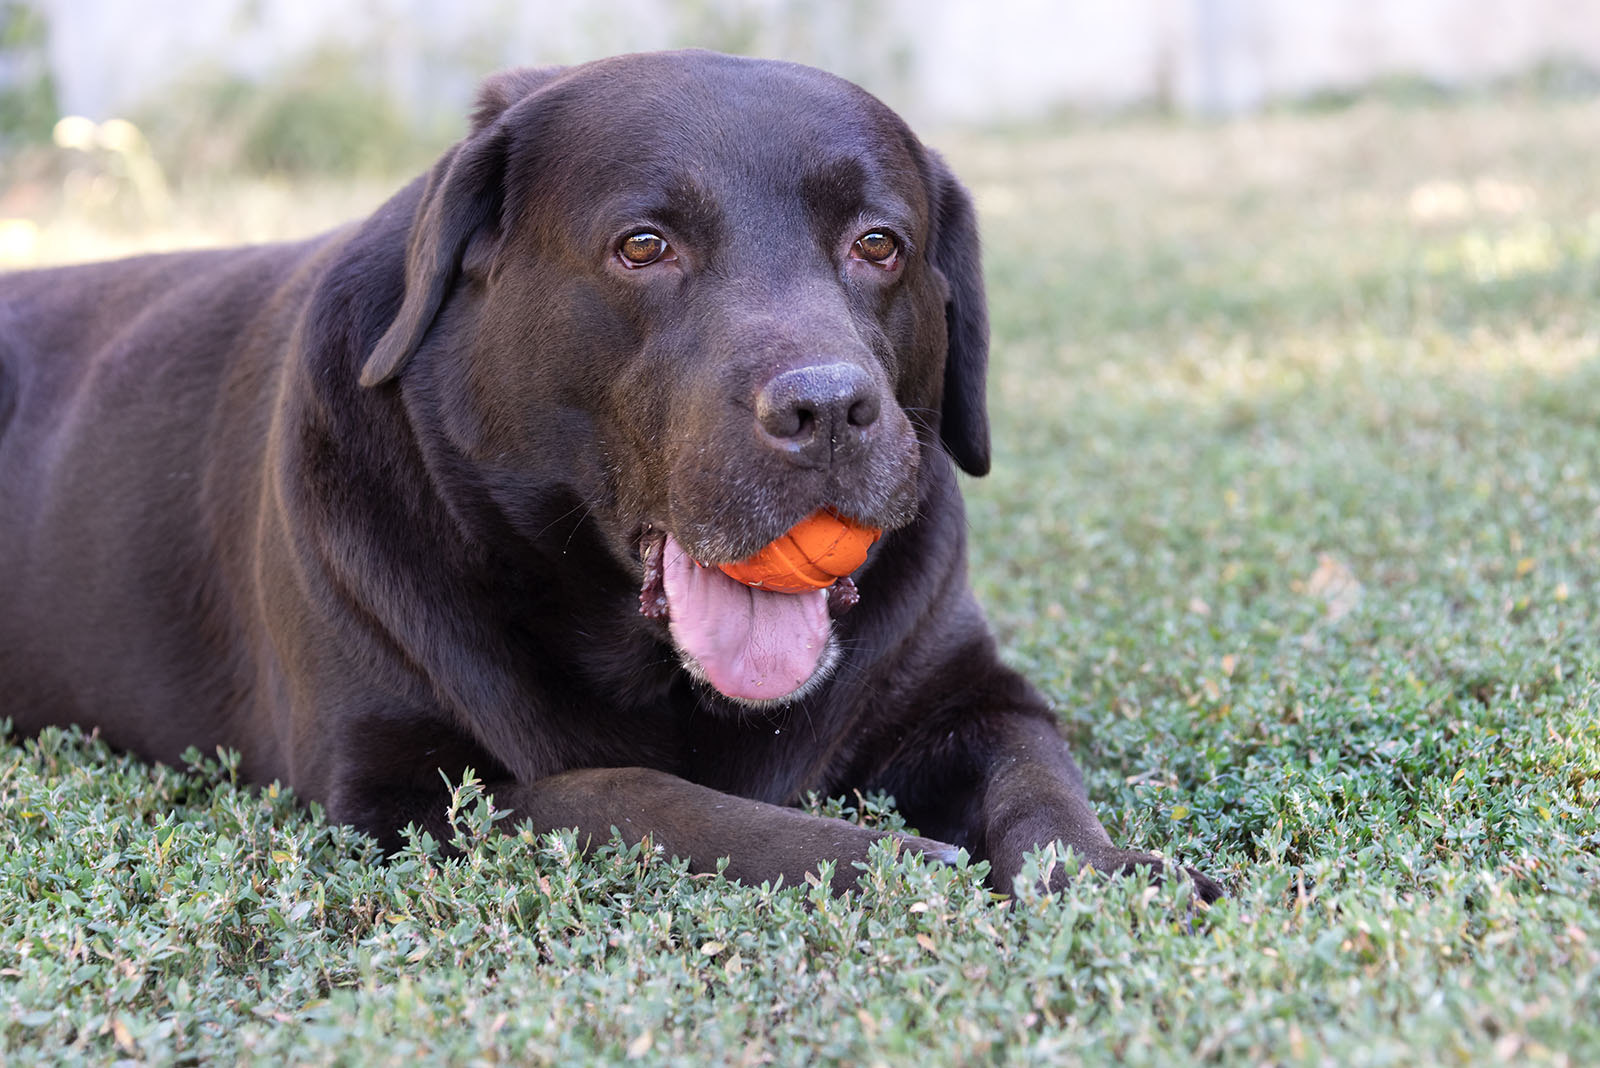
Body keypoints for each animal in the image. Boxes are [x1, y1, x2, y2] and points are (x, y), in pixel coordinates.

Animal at [0, 49, 1216, 901]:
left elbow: (1038, 784)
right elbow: (646, 798)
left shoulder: (971, 695)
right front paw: (896, 861)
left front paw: (1103, 877)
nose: (828, 409)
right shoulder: (397, 796)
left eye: (879, 244)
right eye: (644, 246)